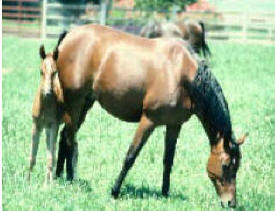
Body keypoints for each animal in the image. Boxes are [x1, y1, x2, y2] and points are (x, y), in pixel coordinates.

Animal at [29, 45, 64, 183]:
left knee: (53, 154)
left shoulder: (54, 125)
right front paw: (26, 181)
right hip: (47, 128)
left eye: (55, 72)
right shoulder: (36, 125)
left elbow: (50, 157)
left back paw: (51, 179)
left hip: (53, 127)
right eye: (41, 71)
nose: (48, 93)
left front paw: (48, 185)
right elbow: (32, 156)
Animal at [54, 24, 248, 208]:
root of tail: (70, 34)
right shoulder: (148, 120)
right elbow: (130, 156)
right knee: (70, 137)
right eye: (226, 165)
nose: (230, 203)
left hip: (85, 103)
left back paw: (58, 176)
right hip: (75, 102)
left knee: (64, 135)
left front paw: (165, 193)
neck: (180, 73)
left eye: (237, 165)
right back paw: (70, 178)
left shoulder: (174, 124)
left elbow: (168, 160)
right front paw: (115, 191)